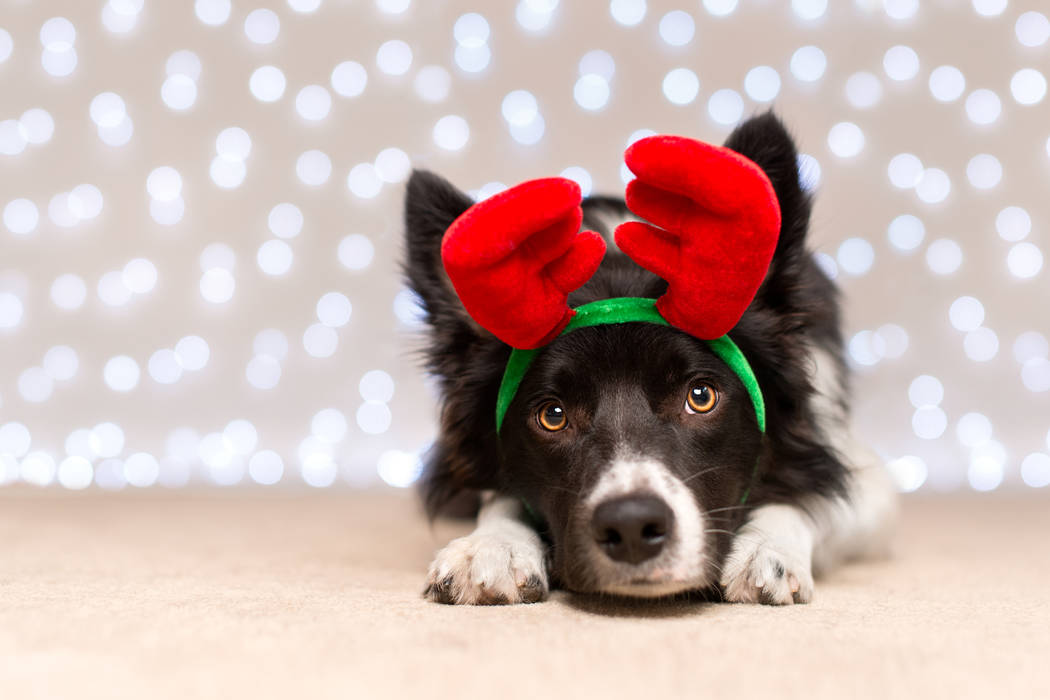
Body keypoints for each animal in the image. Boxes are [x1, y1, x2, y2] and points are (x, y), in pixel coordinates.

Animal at [401, 112, 894, 604]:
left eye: (700, 396)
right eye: (552, 415)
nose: (632, 526)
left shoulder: (864, 477)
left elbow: (807, 496)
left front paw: (768, 547)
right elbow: (499, 497)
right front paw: (491, 546)